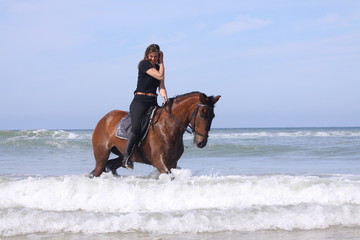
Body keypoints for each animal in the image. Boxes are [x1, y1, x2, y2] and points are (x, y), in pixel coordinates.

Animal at [90, 92, 219, 178]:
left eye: (213, 116)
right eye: (202, 115)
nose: (202, 142)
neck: (169, 127)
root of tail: (105, 118)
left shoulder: (172, 163)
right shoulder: (159, 162)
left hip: (121, 155)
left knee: (110, 165)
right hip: (101, 155)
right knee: (98, 170)